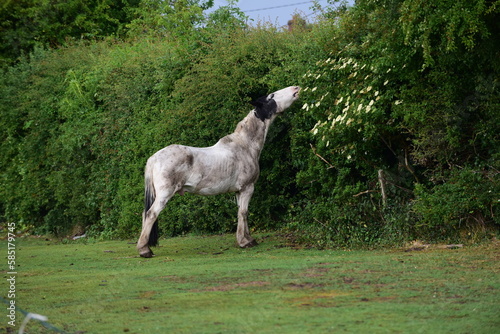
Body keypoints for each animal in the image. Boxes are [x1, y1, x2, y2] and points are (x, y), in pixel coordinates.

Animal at [136, 86, 300, 258]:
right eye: (272, 96)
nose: (295, 88)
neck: (245, 145)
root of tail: (153, 158)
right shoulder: (247, 188)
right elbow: (244, 213)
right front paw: (244, 242)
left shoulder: (239, 191)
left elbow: (242, 213)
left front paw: (248, 238)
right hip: (164, 194)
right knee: (151, 214)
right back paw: (144, 250)